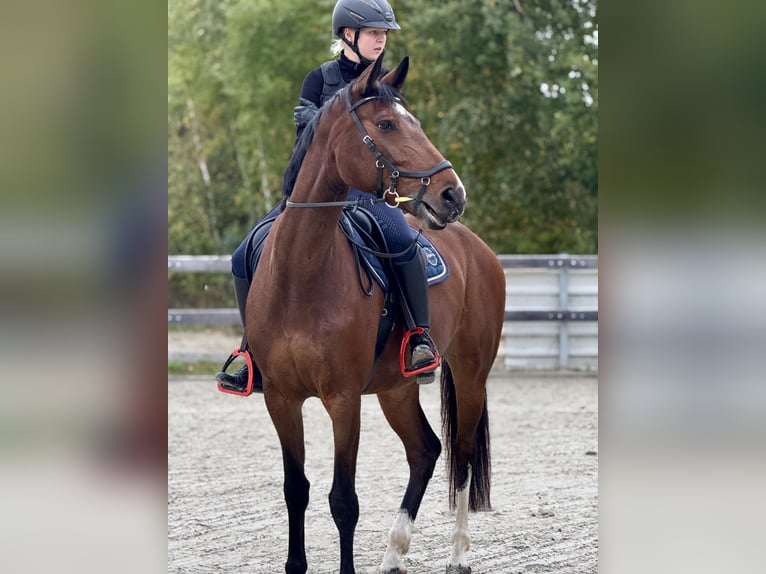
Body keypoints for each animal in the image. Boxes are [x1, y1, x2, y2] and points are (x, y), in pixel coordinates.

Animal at [246, 54, 506, 574]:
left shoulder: (344, 400)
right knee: (426, 450)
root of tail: (478, 248)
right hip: (396, 388)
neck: (300, 273)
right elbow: (296, 490)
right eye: (386, 124)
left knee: (463, 456)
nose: (453, 194)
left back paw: (459, 553)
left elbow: (343, 500)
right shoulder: (281, 399)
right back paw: (393, 553)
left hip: (470, 373)